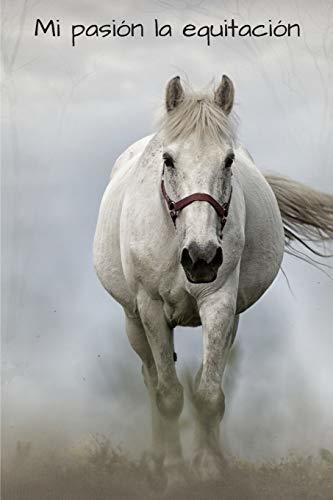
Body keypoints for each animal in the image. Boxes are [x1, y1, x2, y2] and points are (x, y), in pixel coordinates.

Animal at [93, 76, 332, 486]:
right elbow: (168, 395)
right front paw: (174, 472)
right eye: (168, 159)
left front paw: (209, 468)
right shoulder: (150, 309)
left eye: (229, 160)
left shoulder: (220, 304)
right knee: (150, 378)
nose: (201, 258)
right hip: (133, 321)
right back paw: (157, 458)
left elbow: (208, 394)